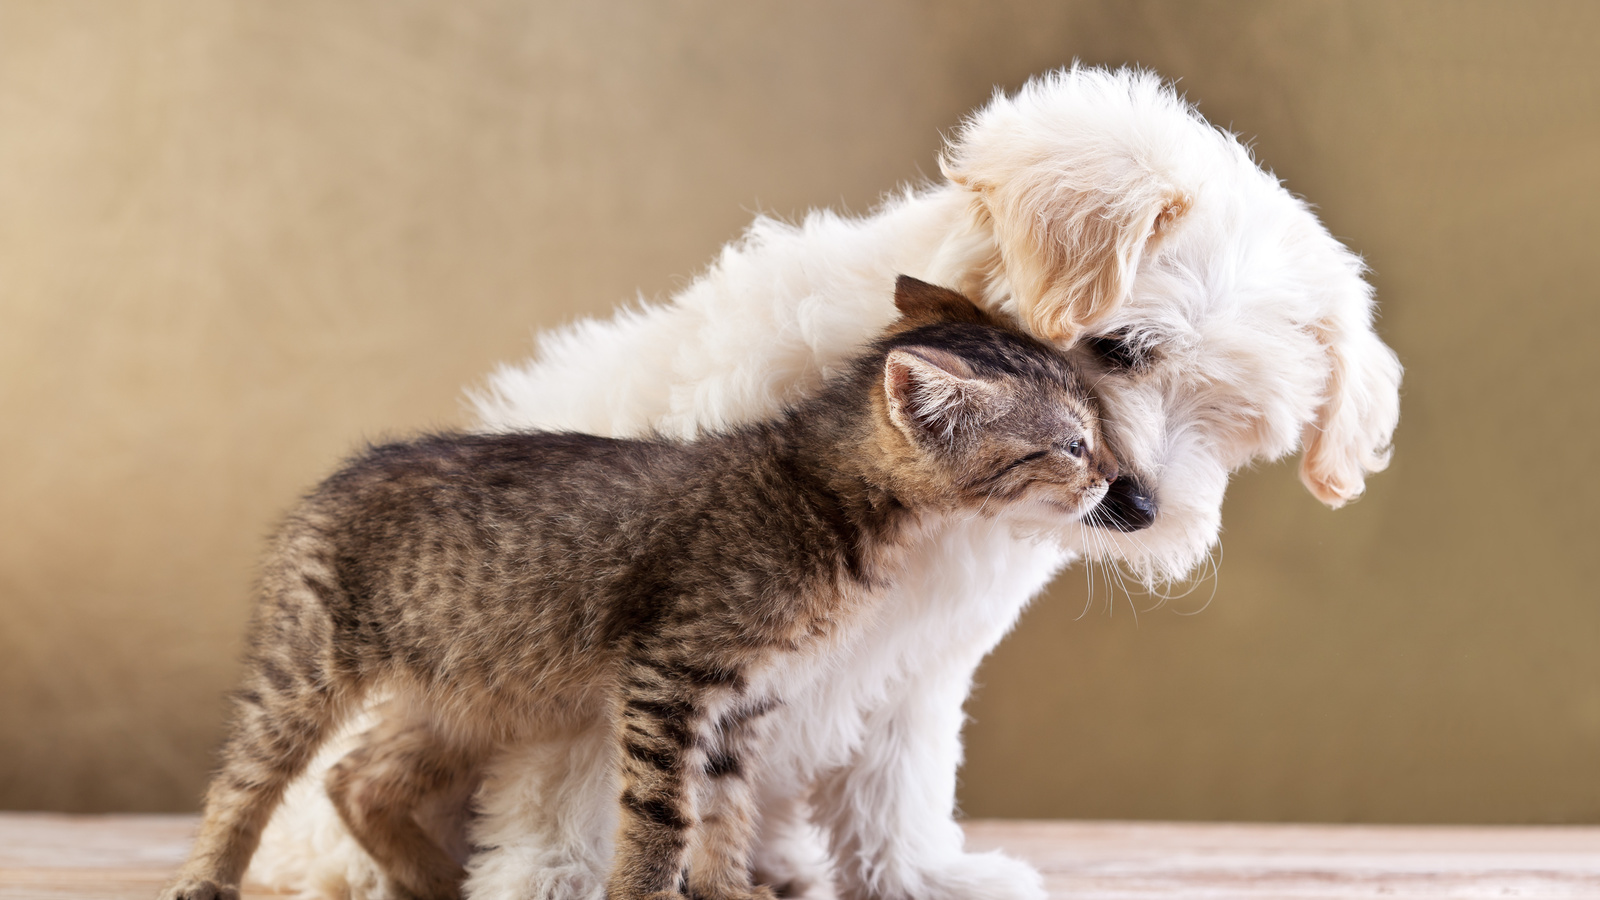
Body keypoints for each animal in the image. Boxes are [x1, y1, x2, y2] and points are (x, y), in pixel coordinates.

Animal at [159, 275, 1113, 896]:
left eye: (1097, 430)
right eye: (1071, 445)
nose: (1115, 480)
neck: (826, 496)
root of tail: (337, 476)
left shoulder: (746, 701)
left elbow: (725, 809)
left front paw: (727, 889)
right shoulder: (669, 674)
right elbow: (664, 813)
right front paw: (650, 888)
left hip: (466, 694)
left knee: (356, 777)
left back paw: (438, 878)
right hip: (305, 667)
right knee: (243, 781)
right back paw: (207, 878)